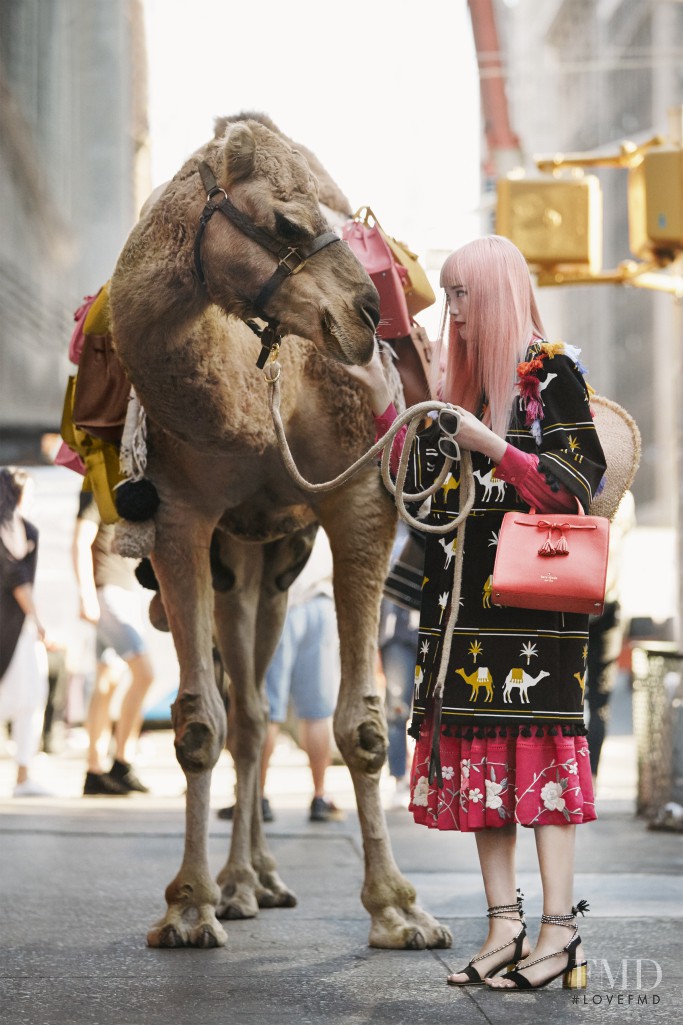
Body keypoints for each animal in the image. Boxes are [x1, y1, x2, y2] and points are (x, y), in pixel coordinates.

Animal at [106, 117, 449, 951]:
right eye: (286, 222)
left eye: (336, 215)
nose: (366, 314)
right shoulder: (179, 514)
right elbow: (200, 723)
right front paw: (188, 907)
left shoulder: (359, 497)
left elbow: (363, 725)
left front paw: (400, 909)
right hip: (241, 554)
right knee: (251, 717)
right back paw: (239, 884)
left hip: (282, 558)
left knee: (261, 708)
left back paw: (258, 877)